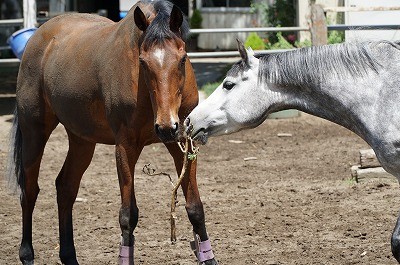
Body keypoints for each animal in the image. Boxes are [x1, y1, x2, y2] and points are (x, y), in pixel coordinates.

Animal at [7, 1, 217, 262]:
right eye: (143, 62)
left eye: (182, 58)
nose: (167, 126)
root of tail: (38, 37)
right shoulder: (125, 147)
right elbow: (128, 215)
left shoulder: (183, 145)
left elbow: (195, 208)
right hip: (34, 133)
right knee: (29, 191)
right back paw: (27, 254)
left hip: (82, 140)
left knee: (65, 187)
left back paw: (69, 256)